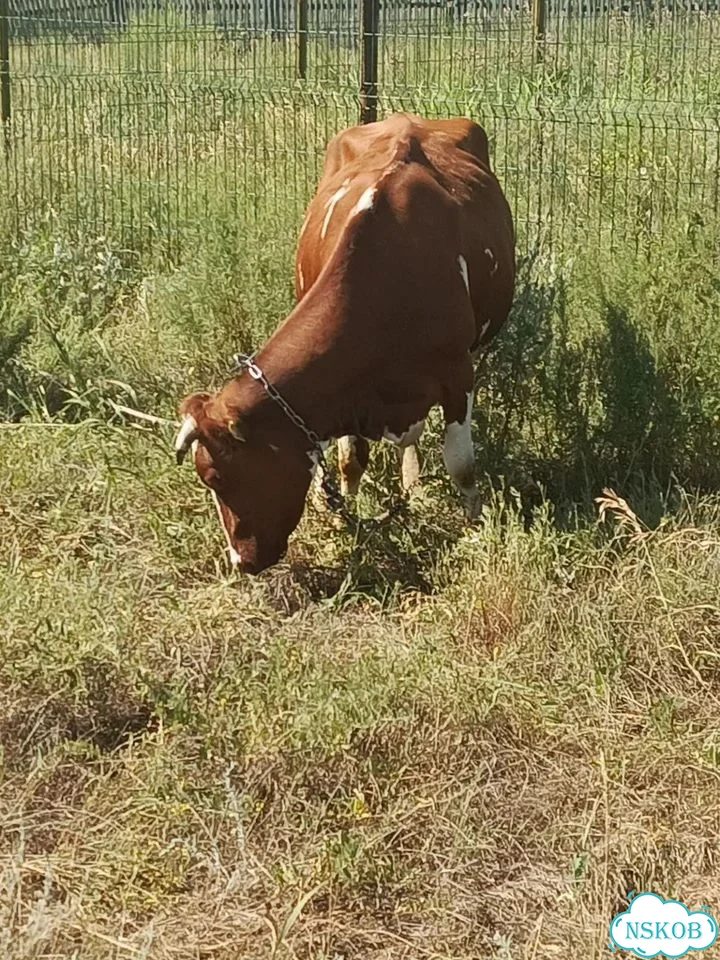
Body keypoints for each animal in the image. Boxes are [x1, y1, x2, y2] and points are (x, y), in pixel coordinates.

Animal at [174, 113, 516, 574]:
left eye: (215, 476)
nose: (240, 562)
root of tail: (407, 117)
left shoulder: (458, 374)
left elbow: (461, 464)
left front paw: (473, 528)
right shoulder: (350, 392)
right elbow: (349, 461)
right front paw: (344, 524)